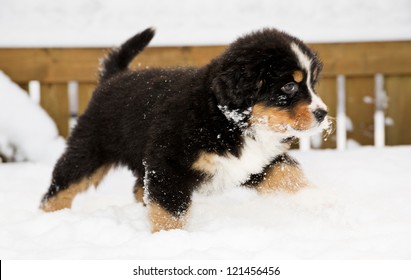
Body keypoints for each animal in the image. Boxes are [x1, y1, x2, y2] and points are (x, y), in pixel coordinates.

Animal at [40, 27, 330, 232]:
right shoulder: (170, 165)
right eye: (289, 86)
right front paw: (170, 240)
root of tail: (112, 77)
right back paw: (49, 219)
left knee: (139, 188)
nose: (323, 113)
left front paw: (319, 200)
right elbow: (170, 210)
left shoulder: (255, 161)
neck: (224, 118)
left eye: (313, 83)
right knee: (61, 187)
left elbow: (287, 175)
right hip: (89, 149)